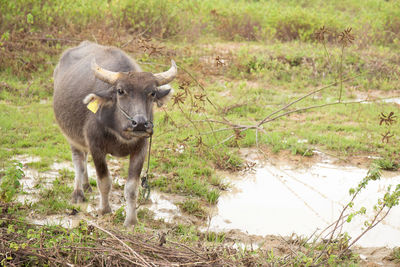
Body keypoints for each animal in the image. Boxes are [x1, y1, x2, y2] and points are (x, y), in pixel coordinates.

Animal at [53, 40, 177, 227]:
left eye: (152, 93)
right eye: (120, 91)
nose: (140, 124)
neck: (120, 131)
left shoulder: (140, 149)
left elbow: (131, 188)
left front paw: (131, 220)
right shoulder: (96, 147)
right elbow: (104, 181)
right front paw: (104, 210)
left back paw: (87, 185)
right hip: (71, 136)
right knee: (78, 161)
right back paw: (78, 192)